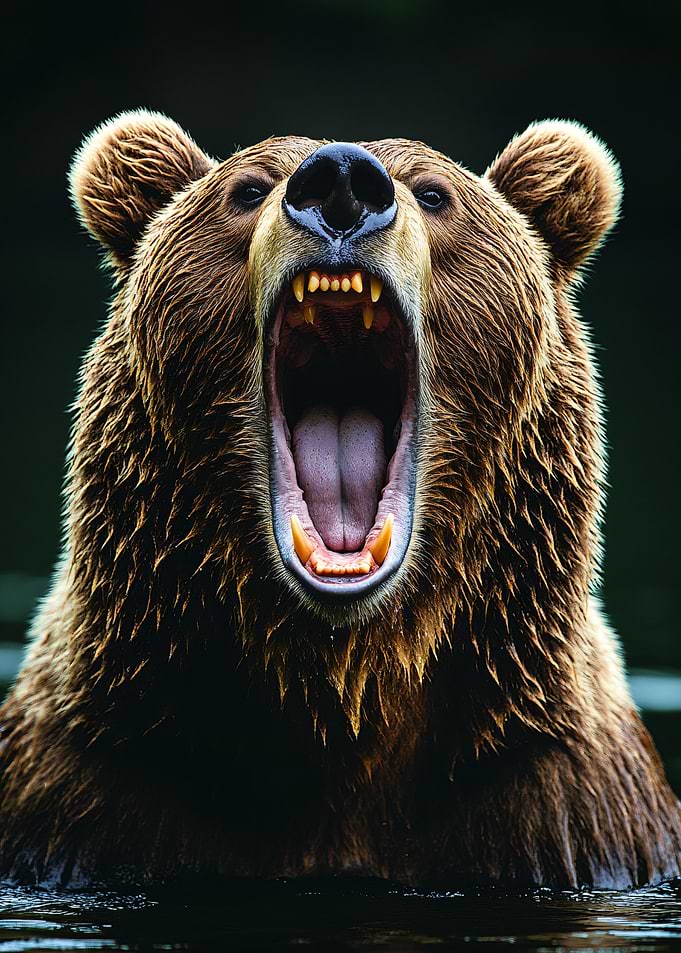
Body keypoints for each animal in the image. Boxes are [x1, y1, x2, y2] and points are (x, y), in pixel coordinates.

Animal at [0, 110, 679, 890]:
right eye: (246, 189)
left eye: (435, 193)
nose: (342, 180)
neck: (346, 688)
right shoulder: (99, 780)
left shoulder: (556, 799)